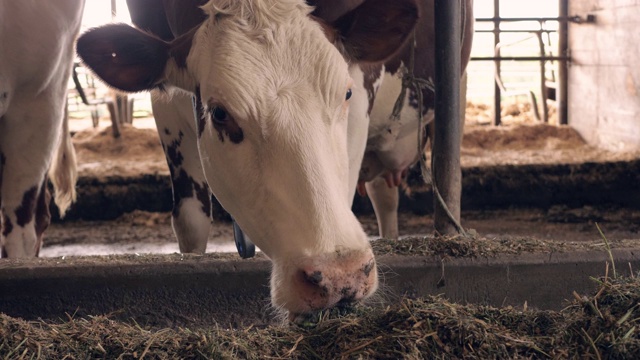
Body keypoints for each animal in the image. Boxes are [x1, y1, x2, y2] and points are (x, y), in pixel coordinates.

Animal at [77, 0, 418, 318]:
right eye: (219, 113)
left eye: (345, 94)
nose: (340, 276)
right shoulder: (167, 106)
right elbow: (190, 221)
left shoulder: (361, 92)